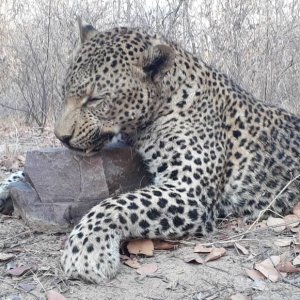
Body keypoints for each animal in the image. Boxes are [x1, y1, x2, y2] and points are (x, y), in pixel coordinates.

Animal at [1, 19, 298, 282]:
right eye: (64, 92)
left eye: (95, 99)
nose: (61, 137)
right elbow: (23, 172)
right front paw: (6, 186)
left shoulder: (190, 191)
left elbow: (117, 203)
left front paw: (86, 251)